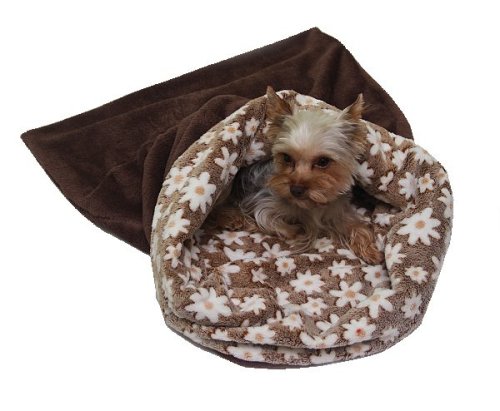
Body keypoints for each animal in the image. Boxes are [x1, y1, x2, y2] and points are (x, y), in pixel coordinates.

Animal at [207, 86, 382, 264]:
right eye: (286, 158)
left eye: (323, 161)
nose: (296, 190)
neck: (310, 206)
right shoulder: (264, 202)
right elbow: (271, 222)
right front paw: (296, 230)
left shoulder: (336, 209)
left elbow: (358, 226)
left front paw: (371, 252)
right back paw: (232, 217)